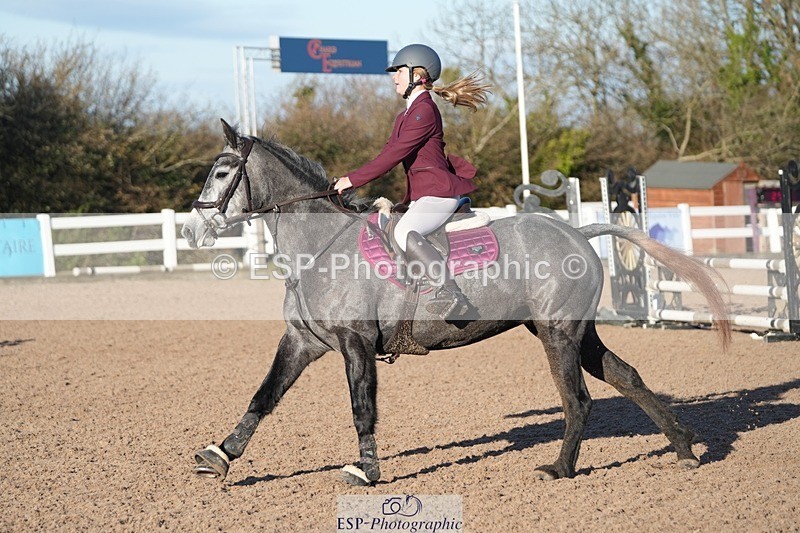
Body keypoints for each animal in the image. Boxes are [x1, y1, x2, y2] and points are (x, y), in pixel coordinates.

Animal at [181, 119, 731, 485]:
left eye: (222, 173)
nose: (190, 230)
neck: (321, 247)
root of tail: (577, 232)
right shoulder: (302, 341)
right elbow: (263, 396)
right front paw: (220, 455)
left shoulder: (356, 344)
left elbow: (362, 407)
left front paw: (367, 470)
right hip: (573, 331)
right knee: (626, 377)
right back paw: (683, 447)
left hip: (558, 333)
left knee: (577, 399)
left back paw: (560, 468)